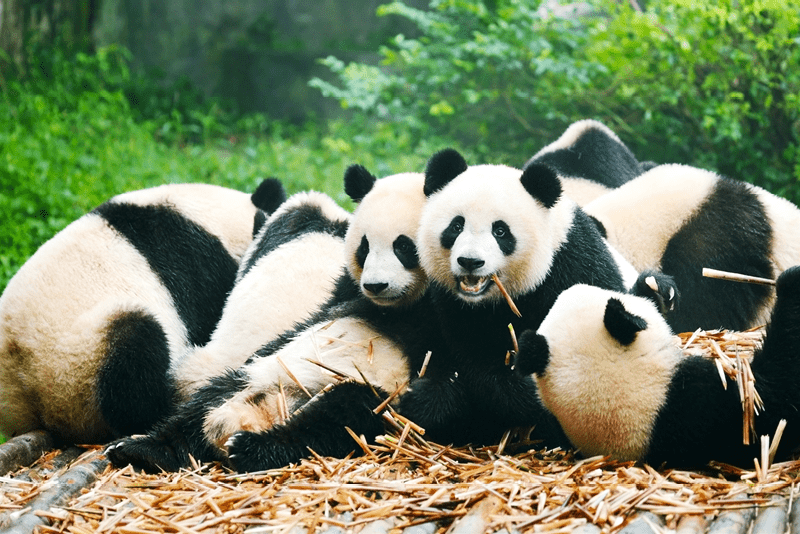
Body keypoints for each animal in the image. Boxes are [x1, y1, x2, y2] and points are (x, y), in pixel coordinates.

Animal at [394, 148, 633, 445]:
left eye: (500, 231)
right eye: (456, 226)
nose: (470, 261)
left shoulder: (573, 265)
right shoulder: (449, 304)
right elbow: (467, 357)